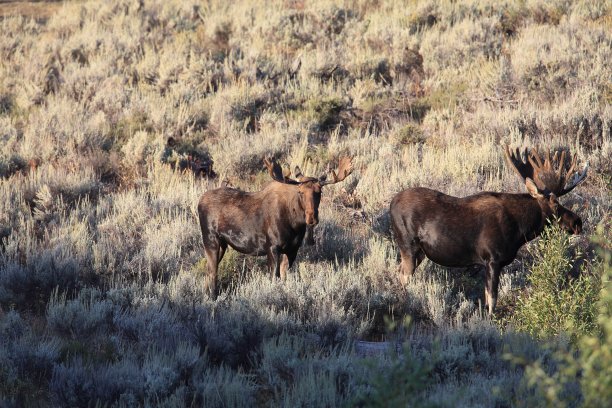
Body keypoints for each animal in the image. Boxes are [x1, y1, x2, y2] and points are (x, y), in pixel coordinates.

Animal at [198, 156, 354, 296]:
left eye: (319, 192)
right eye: (300, 192)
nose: (311, 218)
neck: (295, 225)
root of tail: (199, 202)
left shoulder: (292, 250)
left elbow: (284, 277)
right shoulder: (272, 247)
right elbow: (275, 277)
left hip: (223, 244)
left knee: (207, 271)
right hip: (210, 240)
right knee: (212, 273)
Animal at [392, 147, 588, 316]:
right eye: (555, 203)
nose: (577, 222)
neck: (520, 230)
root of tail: (391, 205)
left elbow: (487, 298)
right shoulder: (493, 259)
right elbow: (492, 300)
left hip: (419, 252)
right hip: (408, 246)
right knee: (403, 277)